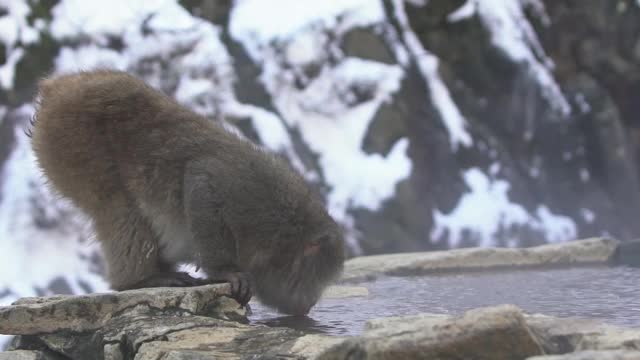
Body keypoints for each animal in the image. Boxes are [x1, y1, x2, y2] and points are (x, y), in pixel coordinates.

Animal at [30, 70, 344, 316]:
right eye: (311, 280)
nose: (309, 305)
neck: (282, 231)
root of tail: (58, 87)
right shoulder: (245, 194)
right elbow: (200, 183)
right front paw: (225, 271)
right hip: (70, 137)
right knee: (117, 205)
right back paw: (140, 280)